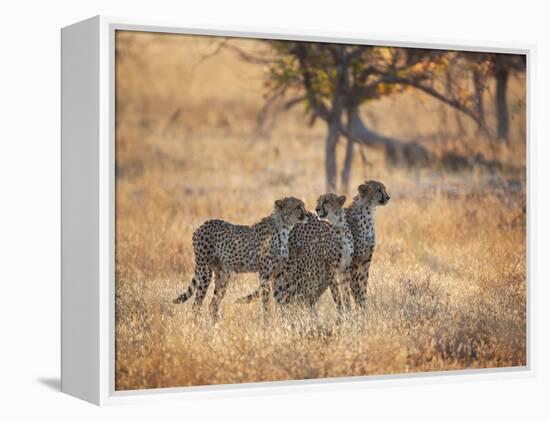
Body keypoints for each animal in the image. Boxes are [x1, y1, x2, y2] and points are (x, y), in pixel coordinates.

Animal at [175, 197, 308, 318]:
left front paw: (283, 319)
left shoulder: (277, 274)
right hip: (205, 270)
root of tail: (202, 225)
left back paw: (217, 325)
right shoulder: (264, 274)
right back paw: (198, 324)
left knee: (213, 304)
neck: (284, 228)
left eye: (303, 205)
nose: (307, 214)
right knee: (196, 304)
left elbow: (280, 299)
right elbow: (265, 302)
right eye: (298, 207)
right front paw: (267, 321)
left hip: (223, 275)